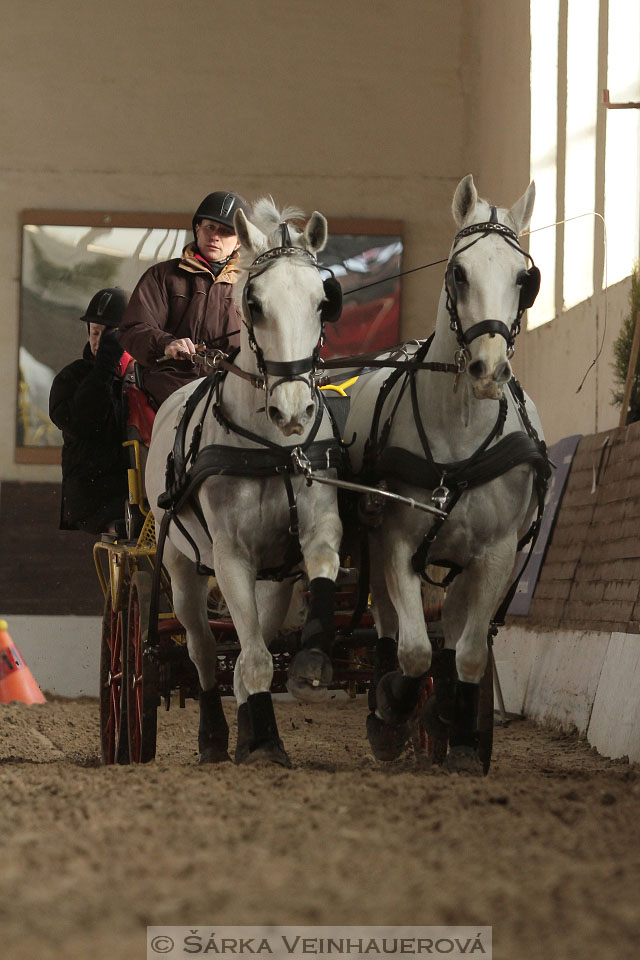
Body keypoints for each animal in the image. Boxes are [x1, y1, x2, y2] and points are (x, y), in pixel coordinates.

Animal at [145, 199, 344, 768]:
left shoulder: (308, 538)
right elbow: (249, 659)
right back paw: (215, 737)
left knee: (246, 647)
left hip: (270, 579)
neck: (273, 451)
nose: (293, 411)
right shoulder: (231, 553)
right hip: (180, 566)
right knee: (205, 652)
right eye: (253, 304)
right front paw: (259, 743)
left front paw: (310, 666)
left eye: (323, 301)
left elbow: (321, 571)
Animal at [344, 174, 552, 772]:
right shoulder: (396, 540)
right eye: (458, 271)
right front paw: (393, 712)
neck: (460, 430)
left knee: (457, 632)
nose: (487, 370)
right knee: (391, 628)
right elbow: (413, 651)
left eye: (525, 278)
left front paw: (455, 729)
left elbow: (471, 654)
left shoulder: (497, 554)